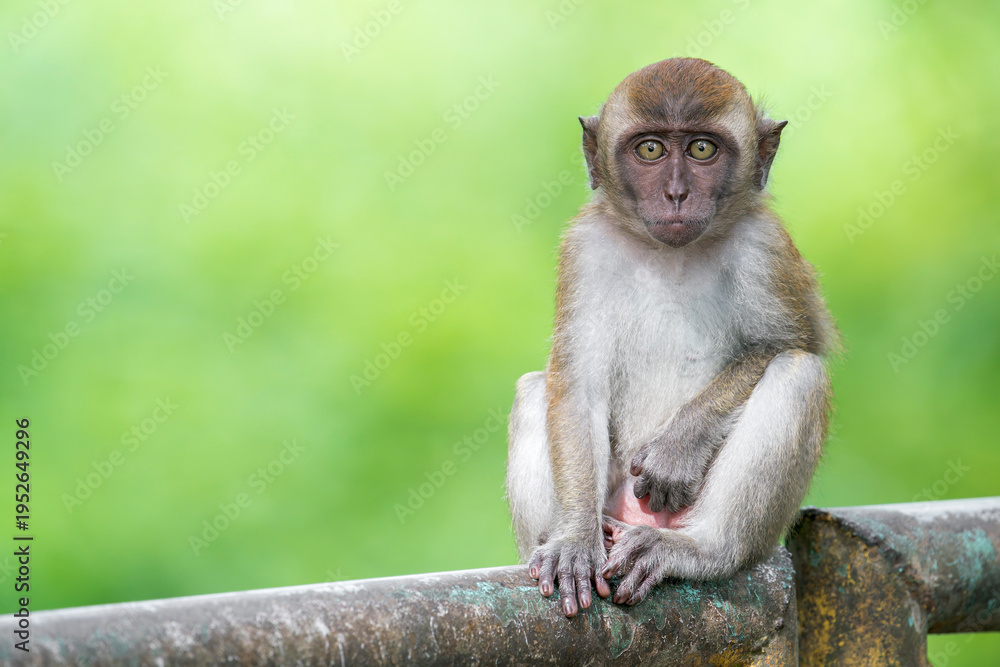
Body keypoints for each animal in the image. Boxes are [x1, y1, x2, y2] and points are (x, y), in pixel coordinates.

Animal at [505, 58, 838, 618]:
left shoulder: (765, 246)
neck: (671, 254)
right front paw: (573, 541)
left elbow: (788, 343)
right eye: (651, 150)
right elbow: (578, 387)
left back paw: (698, 548)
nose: (677, 194)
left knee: (799, 373)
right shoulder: (584, 248)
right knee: (536, 388)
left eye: (702, 149)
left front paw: (678, 448)